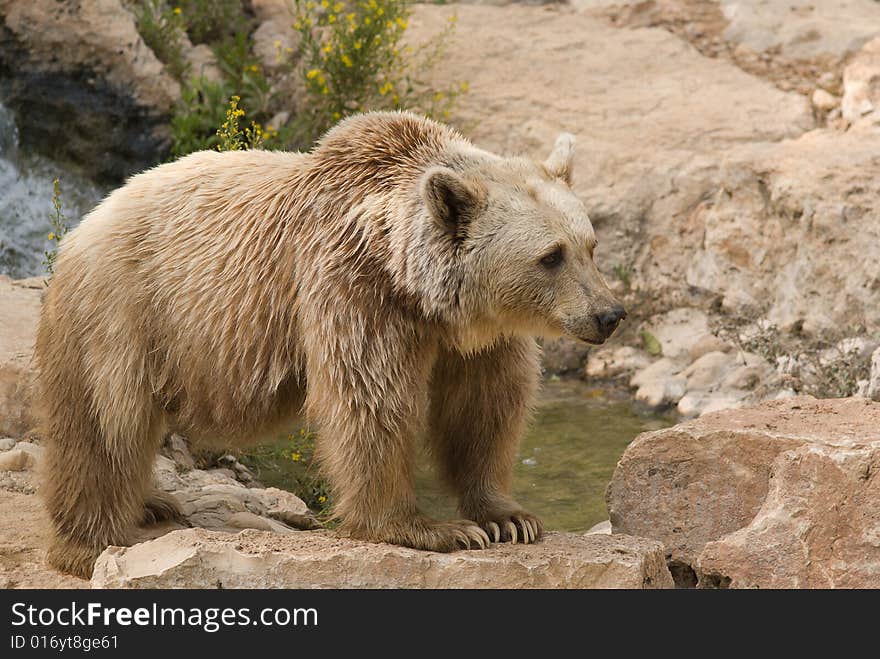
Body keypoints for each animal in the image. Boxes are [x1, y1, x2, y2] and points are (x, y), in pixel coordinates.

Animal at [36, 112, 624, 576]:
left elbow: (484, 408)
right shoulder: (350, 288)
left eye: (590, 245)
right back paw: (92, 543)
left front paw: (508, 518)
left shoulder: (476, 338)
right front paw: (432, 528)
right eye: (550, 256)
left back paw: (151, 503)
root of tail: (85, 222)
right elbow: (370, 402)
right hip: (123, 315)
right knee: (104, 426)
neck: (410, 281)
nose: (610, 314)